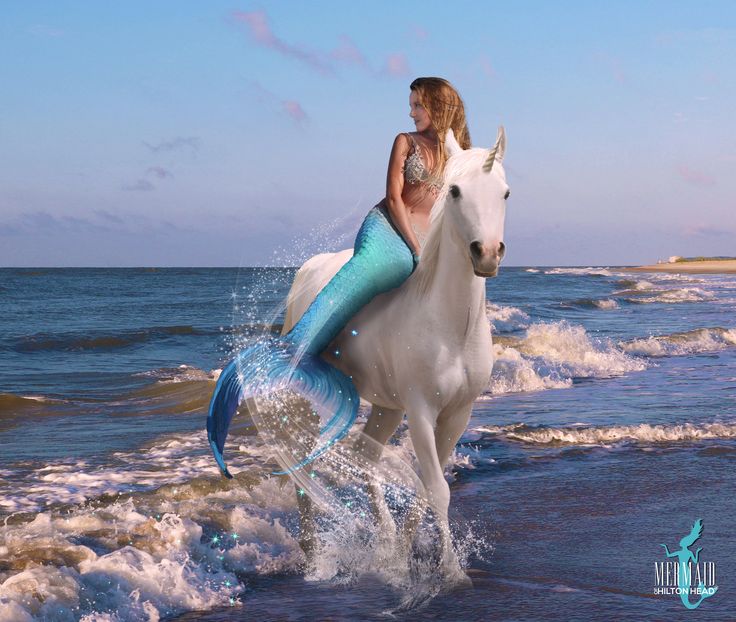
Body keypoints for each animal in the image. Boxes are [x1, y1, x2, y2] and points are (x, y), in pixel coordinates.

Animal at [280, 127, 506, 580]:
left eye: (505, 193)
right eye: (455, 191)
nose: (487, 253)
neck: (449, 323)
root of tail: (306, 273)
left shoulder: (458, 413)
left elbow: (429, 485)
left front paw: (403, 553)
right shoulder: (421, 410)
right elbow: (437, 488)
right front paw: (451, 571)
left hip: (387, 407)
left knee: (366, 454)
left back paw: (384, 543)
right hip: (316, 401)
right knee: (305, 464)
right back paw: (313, 557)